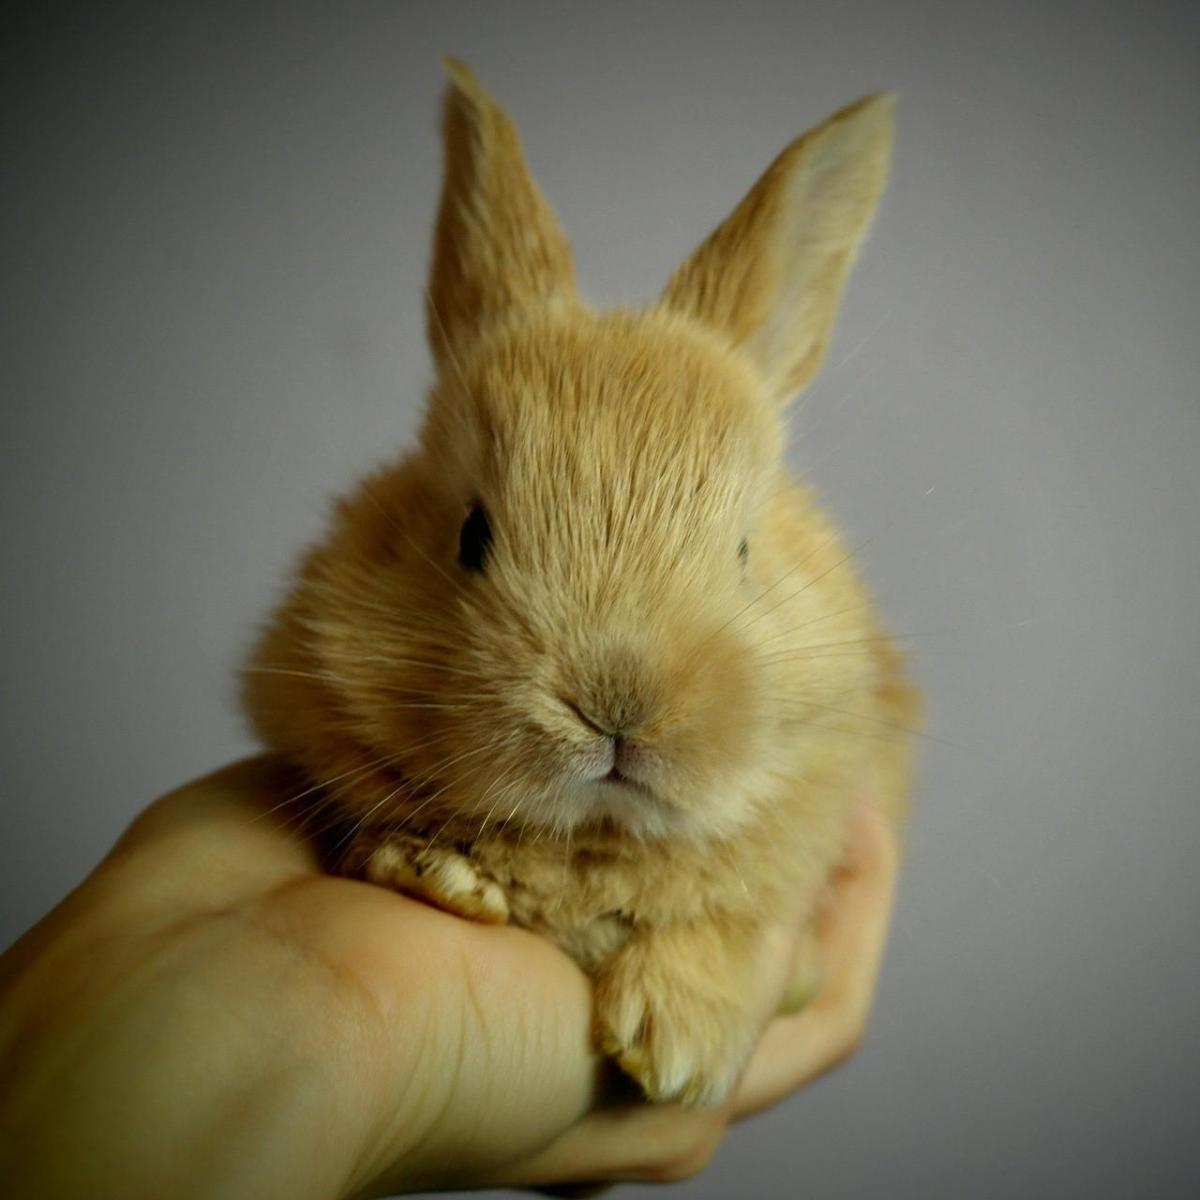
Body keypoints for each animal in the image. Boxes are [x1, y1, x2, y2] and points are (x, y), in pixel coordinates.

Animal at [242, 57, 919, 1107]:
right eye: (472, 533)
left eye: (743, 550)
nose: (616, 707)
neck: (596, 842)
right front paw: (438, 879)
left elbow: (737, 920)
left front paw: (676, 1045)